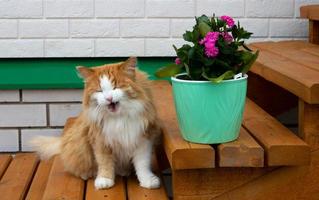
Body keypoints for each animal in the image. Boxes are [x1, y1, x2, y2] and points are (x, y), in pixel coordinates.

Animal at [30, 57, 162, 190]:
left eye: (116, 87)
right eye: (100, 90)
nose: (109, 98)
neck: (119, 119)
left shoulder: (144, 139)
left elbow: (142, 164)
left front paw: (148, 180)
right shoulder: (100, 140)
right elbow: (104, 162)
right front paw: (104, 180)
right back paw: (88, 174)